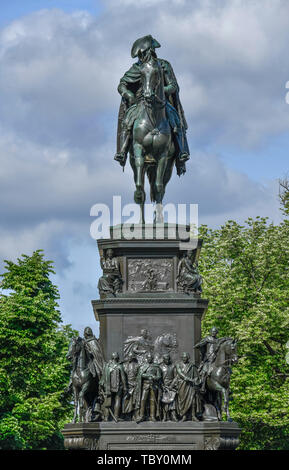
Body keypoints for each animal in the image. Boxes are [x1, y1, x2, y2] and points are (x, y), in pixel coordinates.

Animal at [129, 55, 174, 224]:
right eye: (141, 74)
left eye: (156, 72)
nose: (147, 95)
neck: (153, 118)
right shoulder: (138, 150)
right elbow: (140, 188)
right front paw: (140, 223)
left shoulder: (163, 155)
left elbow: (158, 187)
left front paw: (159, 221)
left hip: (167, 166)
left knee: (160, 189)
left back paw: (157, 220)